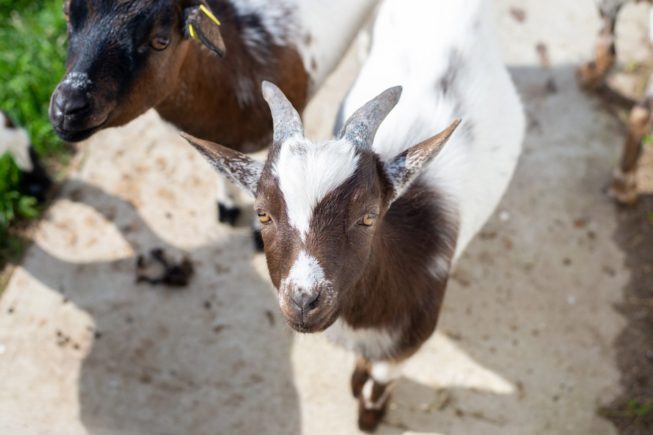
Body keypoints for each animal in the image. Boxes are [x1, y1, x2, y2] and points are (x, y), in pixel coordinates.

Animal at [183, 0, 524, 430]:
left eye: (368, 216)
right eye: (262, 214)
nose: (304, 300)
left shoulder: (406, 346)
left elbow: (380, 377)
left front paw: (369, 414)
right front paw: (356, 384)